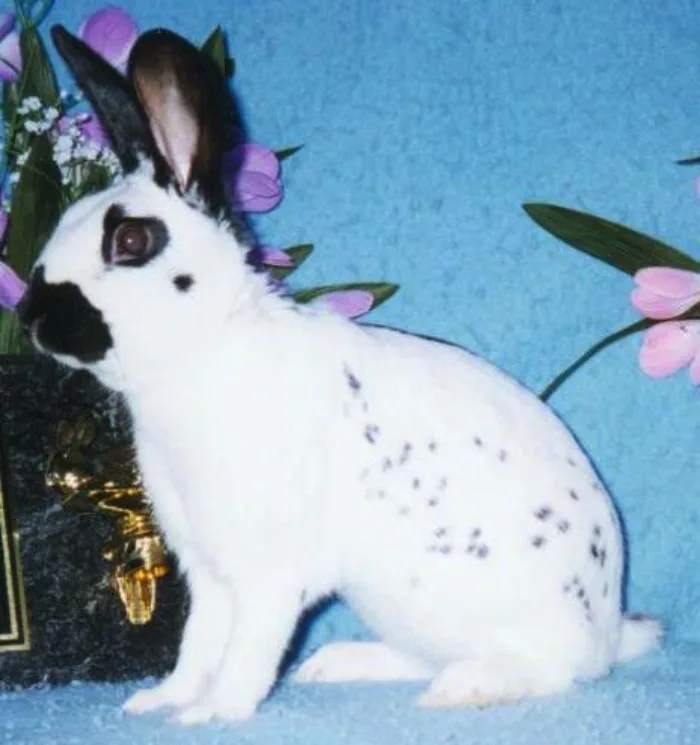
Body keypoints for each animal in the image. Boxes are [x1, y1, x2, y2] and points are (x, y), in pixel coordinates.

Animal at [15, 25, 662, 724]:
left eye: (131, 242)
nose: (28, 314)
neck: (204, 351)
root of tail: (605, 633)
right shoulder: (208, 573)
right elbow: (198, 644)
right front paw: (160, 700)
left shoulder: (266, 575)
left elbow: (247, 649)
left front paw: (216, 713)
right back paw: (336, 664)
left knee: (551, 674)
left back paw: (465, 686)